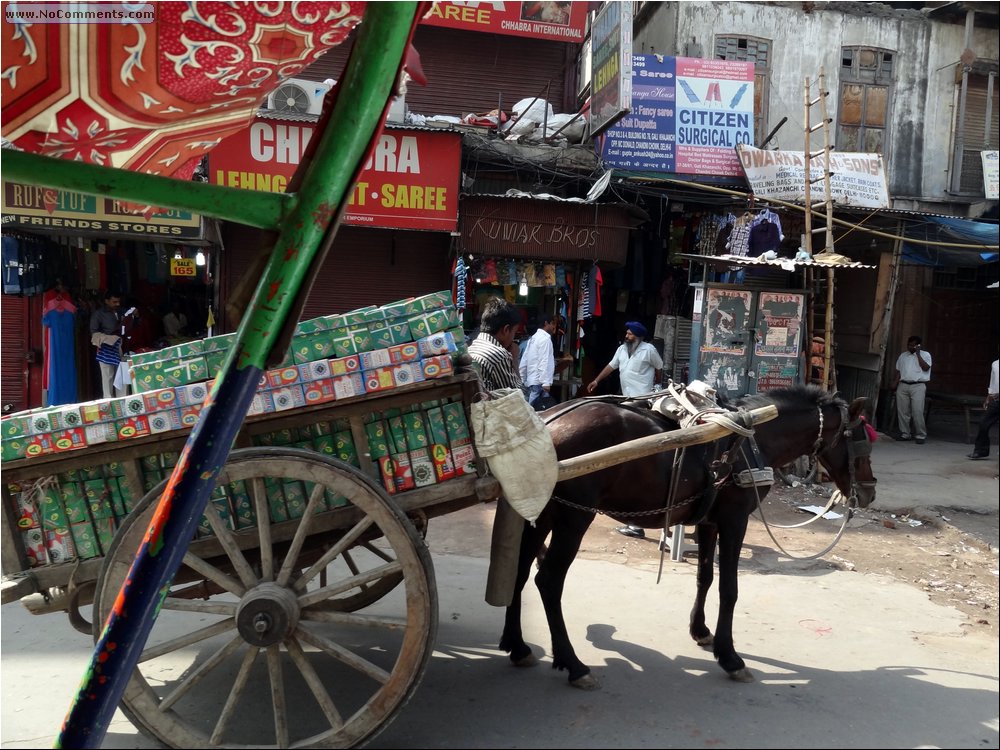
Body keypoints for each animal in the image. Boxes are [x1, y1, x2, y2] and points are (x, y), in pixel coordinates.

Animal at [500, 388, 876, 692]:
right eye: (861, 441)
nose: (869, 493)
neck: (756, 437)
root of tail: (545, 423)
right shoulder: (735, 519)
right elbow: (729, 588)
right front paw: (730, 657)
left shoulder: (709, 521)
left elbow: (704, 577)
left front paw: (700, 631)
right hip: (574, 517)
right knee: (548, 581)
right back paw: (574, 665)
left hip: (541, 513)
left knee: (518, 571)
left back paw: (518, 646)